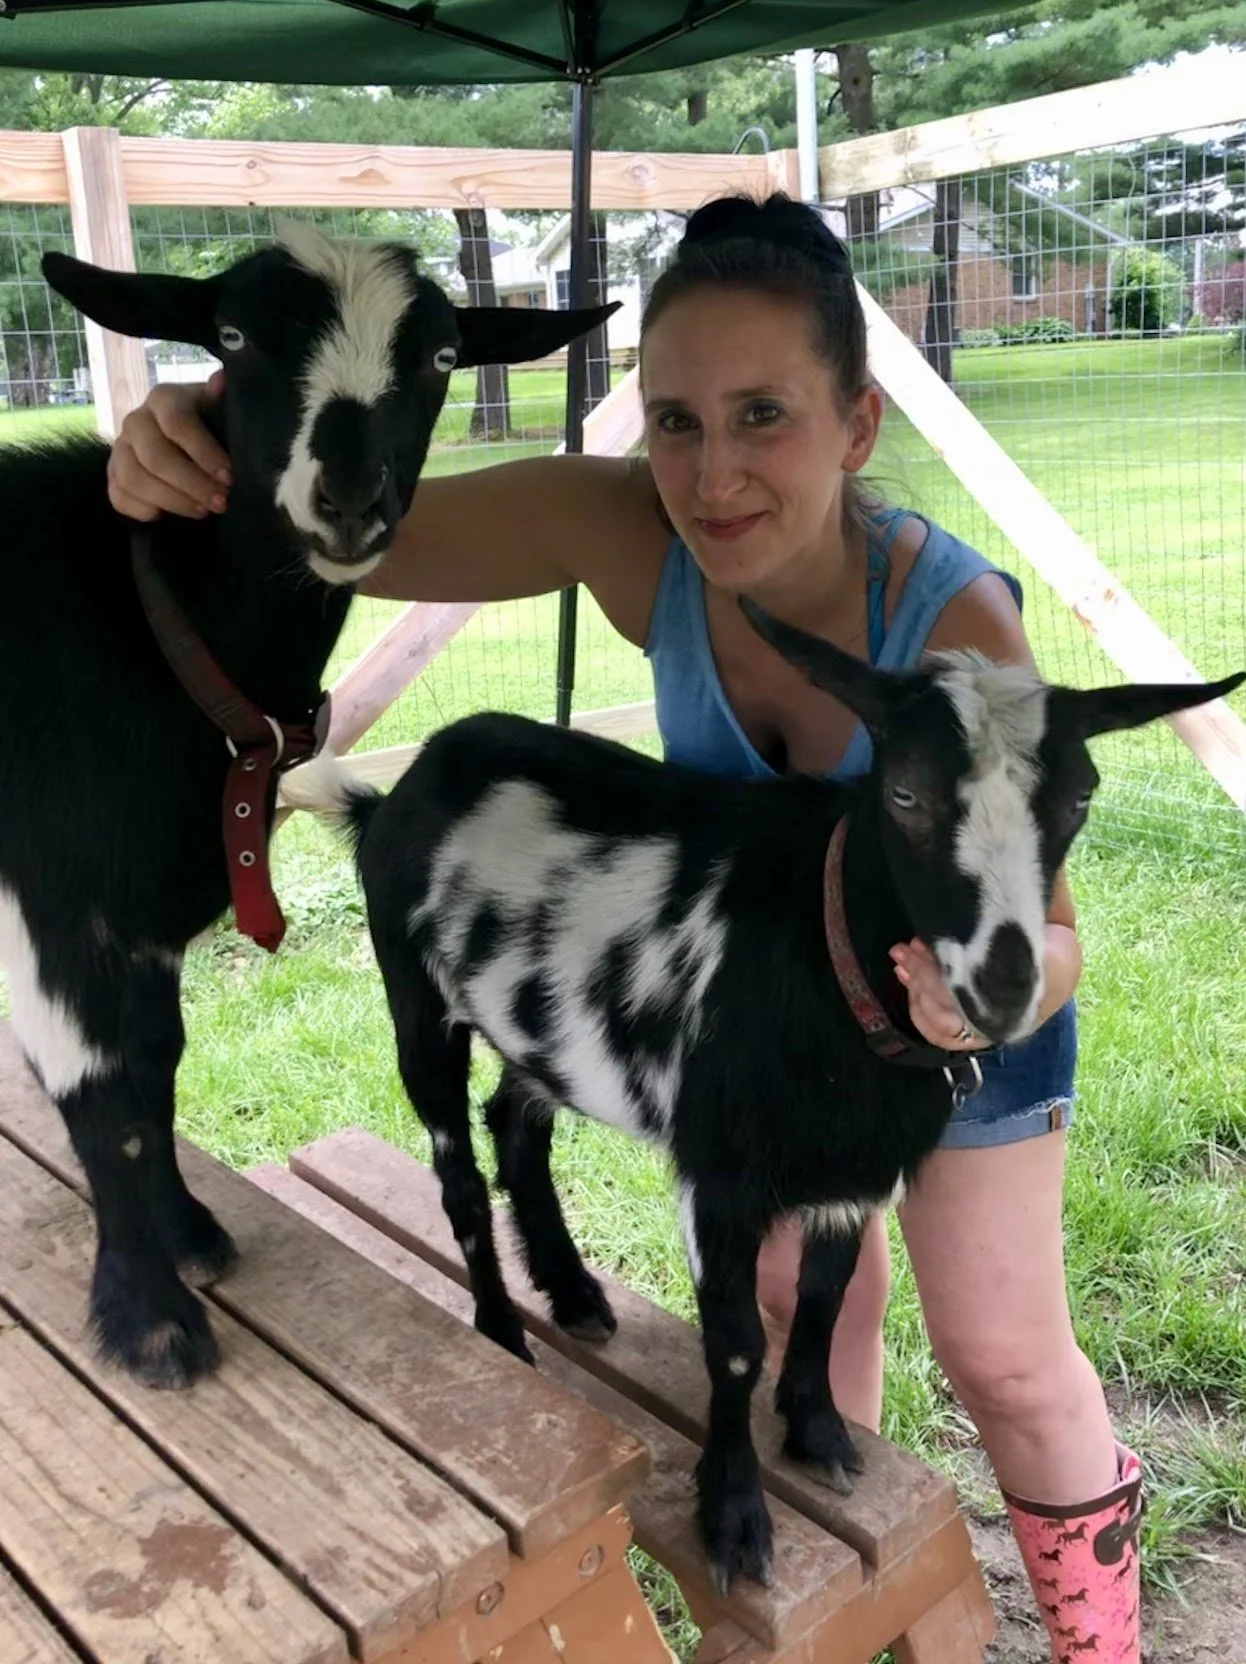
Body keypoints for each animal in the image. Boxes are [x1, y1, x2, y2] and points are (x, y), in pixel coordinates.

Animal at [0, 224, 611, 1390]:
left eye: (443, 354)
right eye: (232, 336)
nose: (351, 498)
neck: (149, 625)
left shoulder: (145, 918)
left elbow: (155, 1066)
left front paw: (189, 1235)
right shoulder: (50, 905)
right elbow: (103, 1101)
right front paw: (150, 1321)